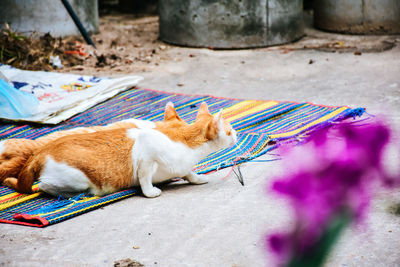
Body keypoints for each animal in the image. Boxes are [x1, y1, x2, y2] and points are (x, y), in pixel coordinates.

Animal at [3, 102, 238, 199]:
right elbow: (145, 178)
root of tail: (39, 153)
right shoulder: (146, 149)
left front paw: (196, 178)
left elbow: (188, 172)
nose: (236, 133)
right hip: (76, 178)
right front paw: (150, 191)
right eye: (228, 130)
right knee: (43, 186)